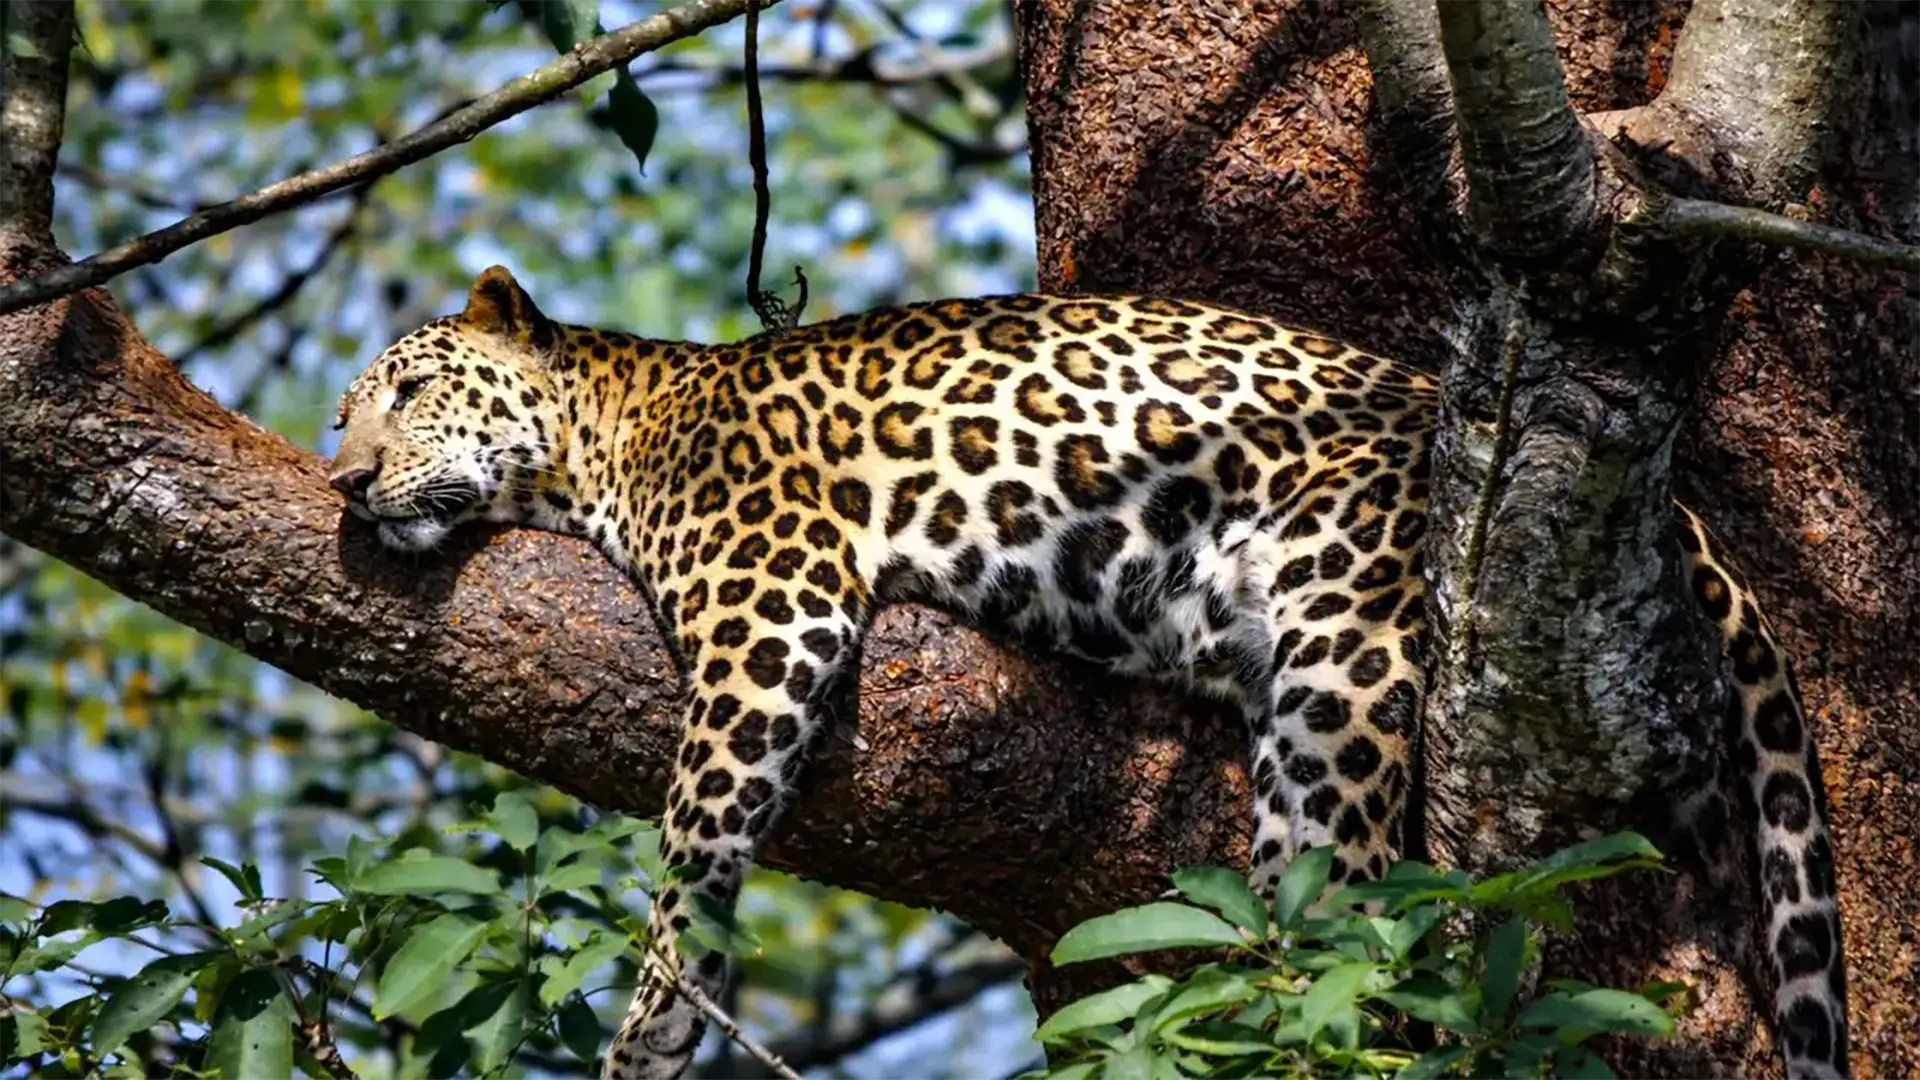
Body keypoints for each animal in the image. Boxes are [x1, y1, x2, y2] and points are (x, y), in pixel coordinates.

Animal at [328, 266, 1850, 1080]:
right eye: (345, 415)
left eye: (406, 390)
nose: (342, 482)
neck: (606, 436)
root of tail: (1684, 518)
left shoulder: (774, 606)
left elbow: (692, 846)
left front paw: (654, 1028)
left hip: (1349, 643)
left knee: (1349, 900)